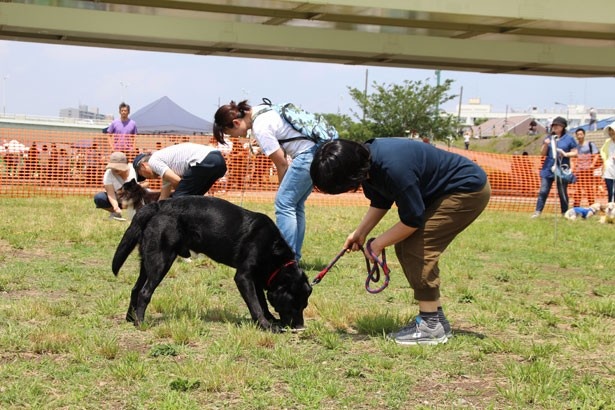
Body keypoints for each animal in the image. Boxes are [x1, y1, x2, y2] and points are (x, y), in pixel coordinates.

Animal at [111, 195, 312, 330]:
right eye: (294, 305)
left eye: (304, 306)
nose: (300, 327)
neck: (273, 249)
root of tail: (158, 205)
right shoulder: (243, 276)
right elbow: (255, 305)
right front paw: (265, 325)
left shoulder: (255, 278)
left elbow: (261, 301)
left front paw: (270, 319)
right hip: (161, 261)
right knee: (144, 292)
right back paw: (141, 323)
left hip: (147, 262)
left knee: (135, 289)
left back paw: (131, 319)